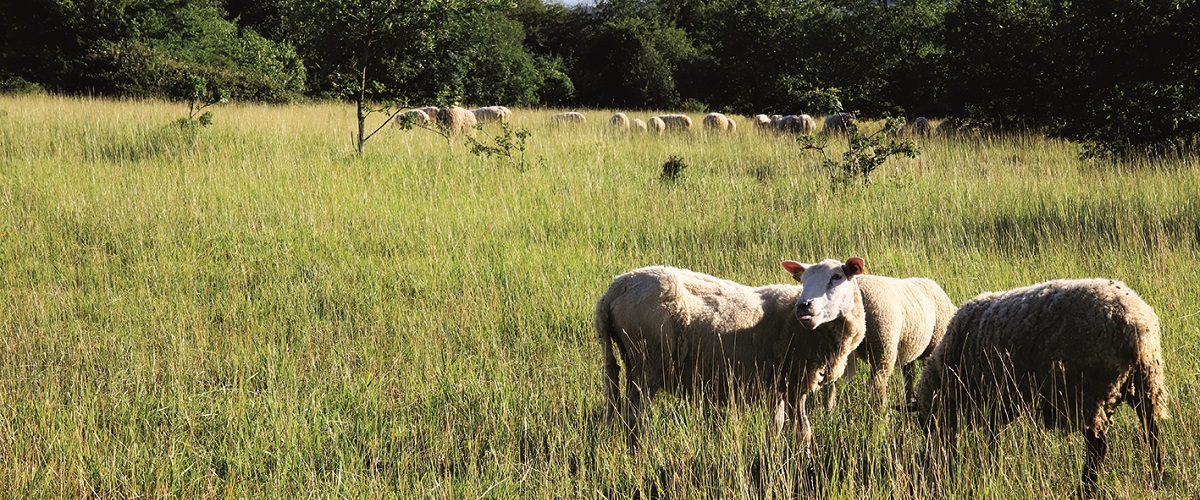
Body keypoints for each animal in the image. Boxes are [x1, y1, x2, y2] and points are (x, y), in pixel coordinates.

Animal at [600, 258, 873, 446]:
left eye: (837, 276)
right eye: (803, 280)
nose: (804, 306)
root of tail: (615, 288)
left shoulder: (778, 381)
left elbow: (775, 425)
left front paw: (772, 454)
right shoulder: (795, 380)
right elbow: (802, 431)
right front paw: (802, 462)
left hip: (633, 359)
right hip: (649, 359)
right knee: (637, 415)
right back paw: (647, 450)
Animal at [816, 273, 955, 410]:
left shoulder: (909, 350)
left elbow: (909, 376)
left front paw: (909, 400)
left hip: (834, 344)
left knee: (830, 379)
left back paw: (828, 409)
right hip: (883, 341)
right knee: (878, 381)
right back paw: (881, 411)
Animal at [902, 278, 1166, 496]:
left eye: (927, 425)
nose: (933, 459)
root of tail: (1136, 323)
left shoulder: (994, 396)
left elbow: (992, 439)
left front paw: (990, 467)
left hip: (1090, 393)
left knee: (1098, 448)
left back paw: (1085, 489)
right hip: (1145, 383)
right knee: (1152, 434)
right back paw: (1156, 478)